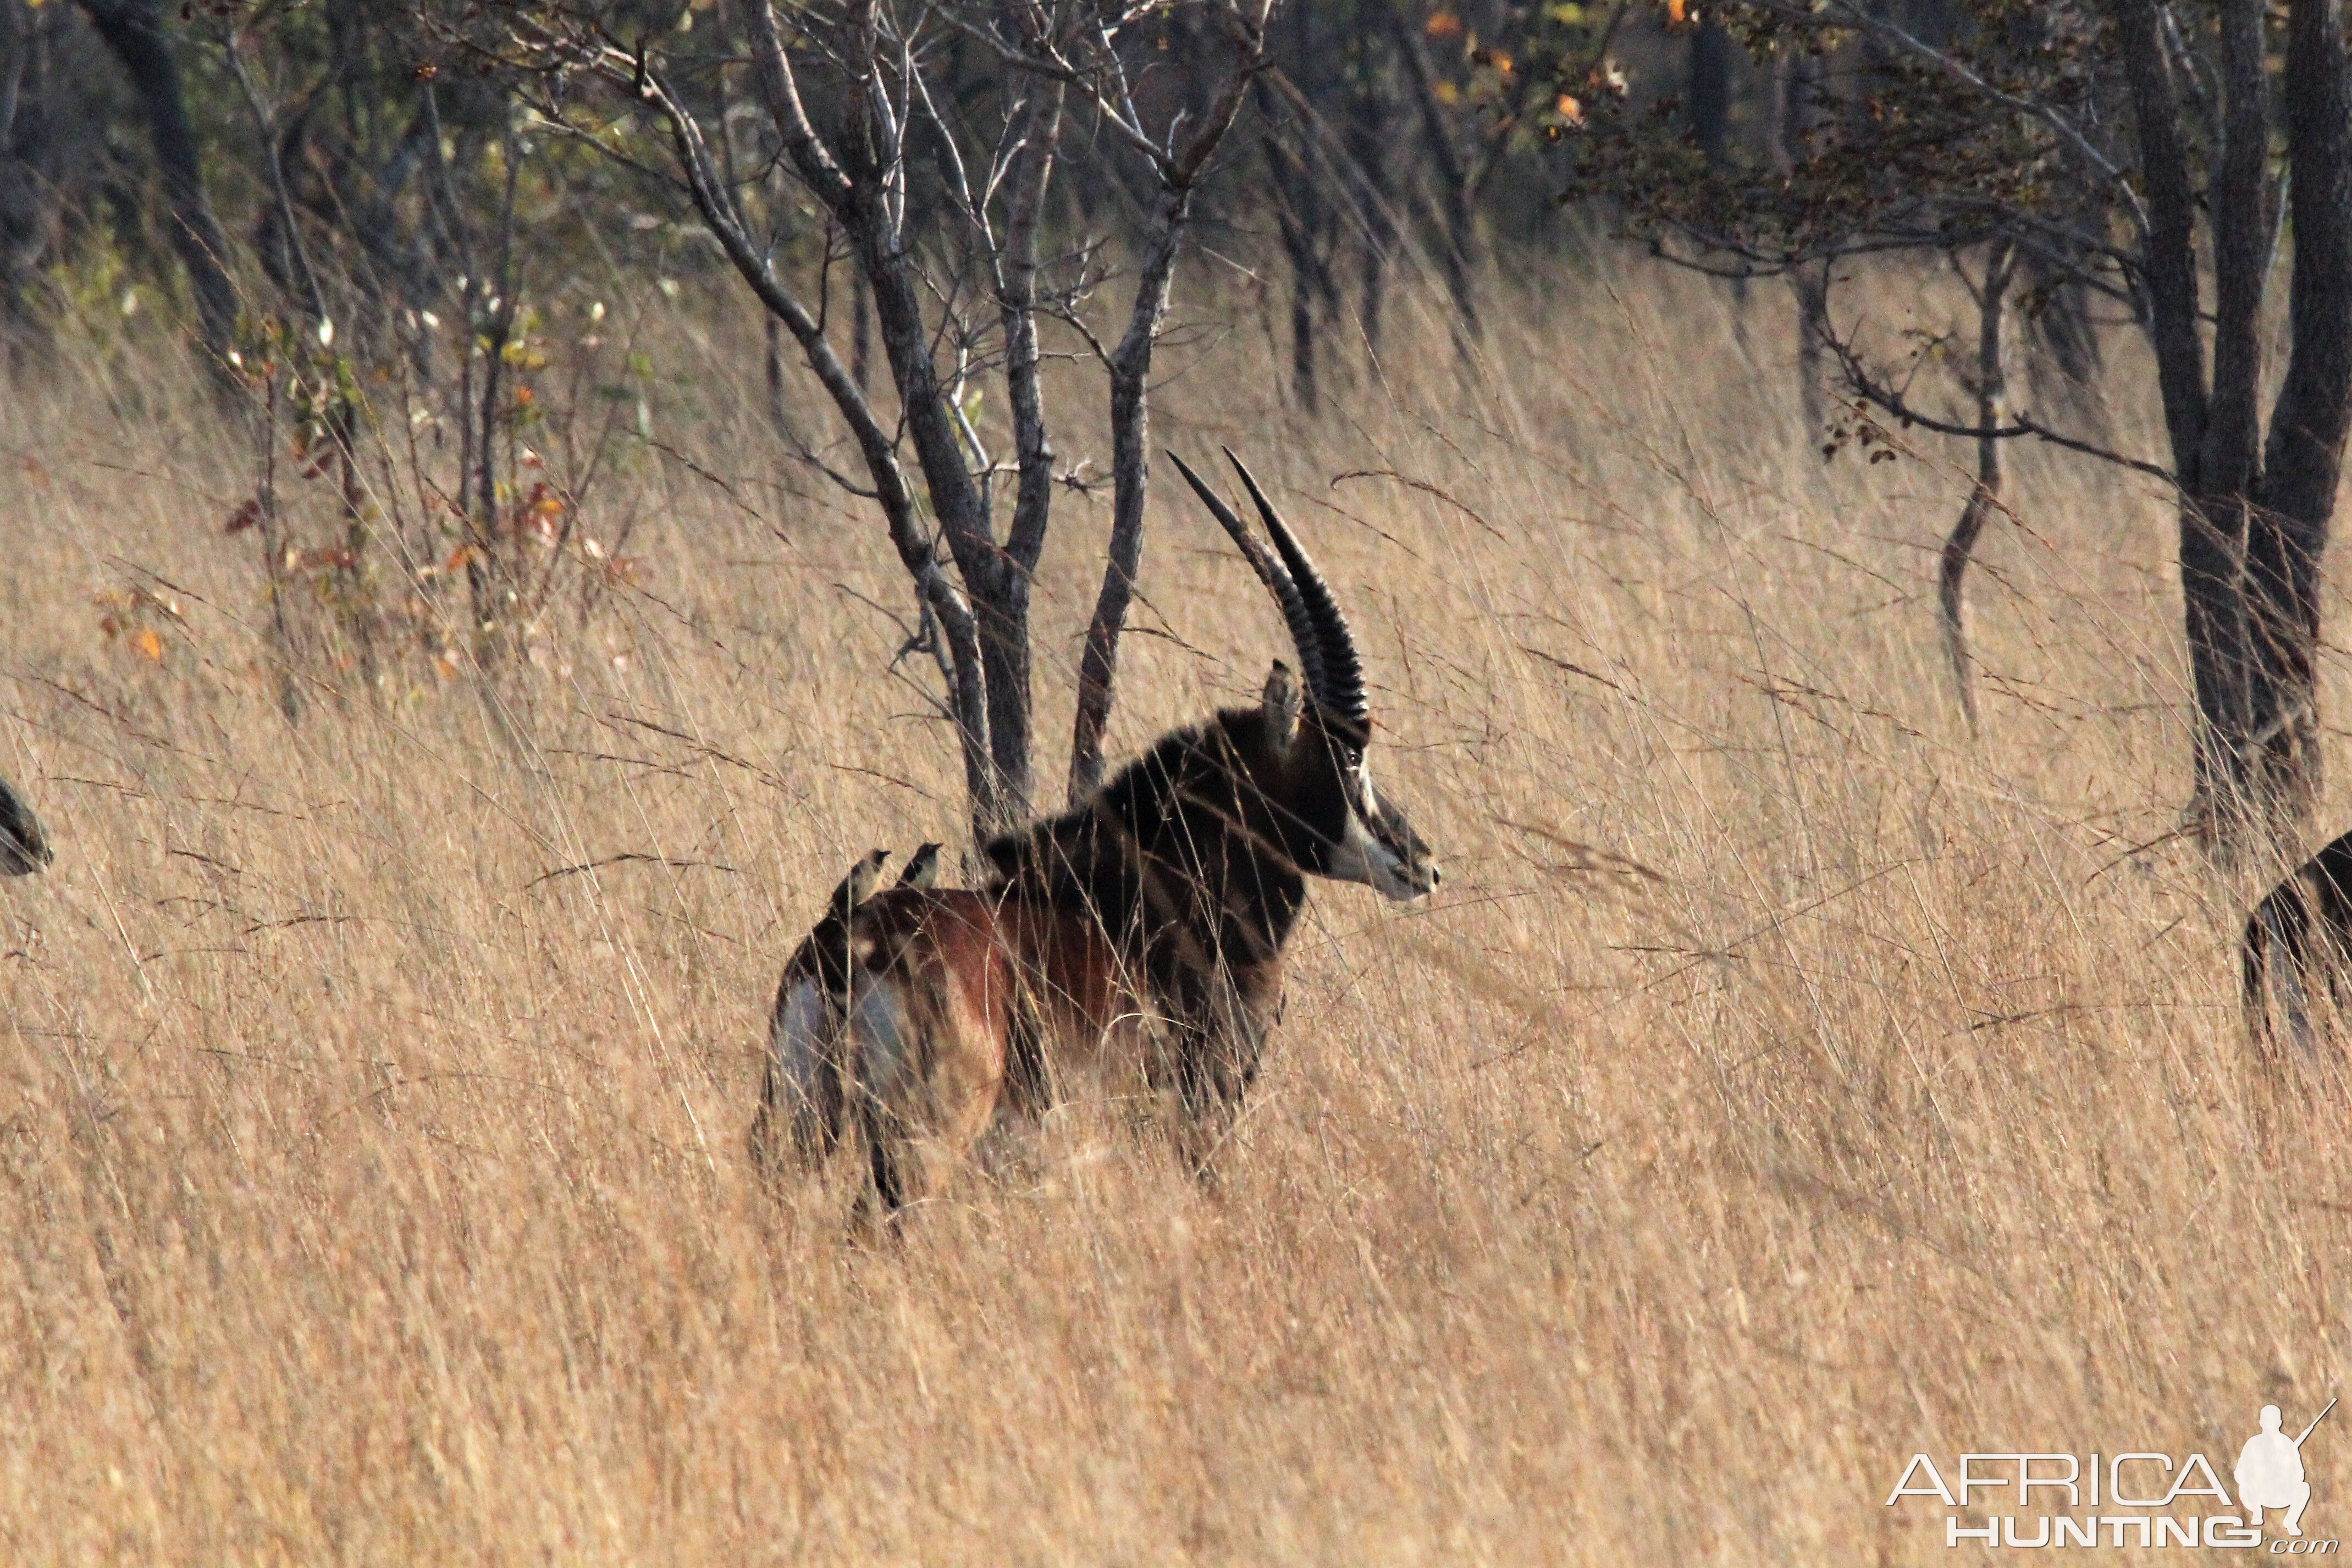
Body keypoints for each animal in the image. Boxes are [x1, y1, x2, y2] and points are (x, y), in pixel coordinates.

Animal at [752, 454, 1439, 1213]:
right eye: (1350, 755)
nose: (1421, 861)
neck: (1170, 893)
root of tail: (847, 943)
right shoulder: (1204, 1102)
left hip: (799, 1122)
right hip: (927, 1132)